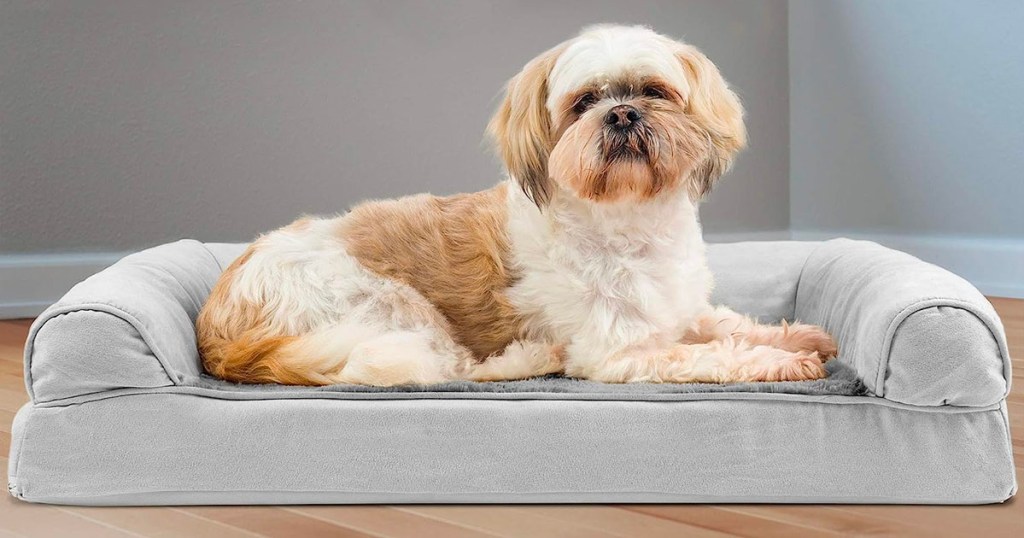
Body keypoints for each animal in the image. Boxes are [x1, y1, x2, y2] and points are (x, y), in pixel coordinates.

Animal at [195, 25, 835, 385]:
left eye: (654, 91)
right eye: (583, 103)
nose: (622, 114)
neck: (628, 223)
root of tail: (219, 327)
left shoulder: (677, 308)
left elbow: (723, 322)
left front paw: (801, 336)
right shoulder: (620, 353)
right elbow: (710, 354)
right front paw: (781, 361)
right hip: (391, 310)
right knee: (451, 372)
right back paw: (532, 358)